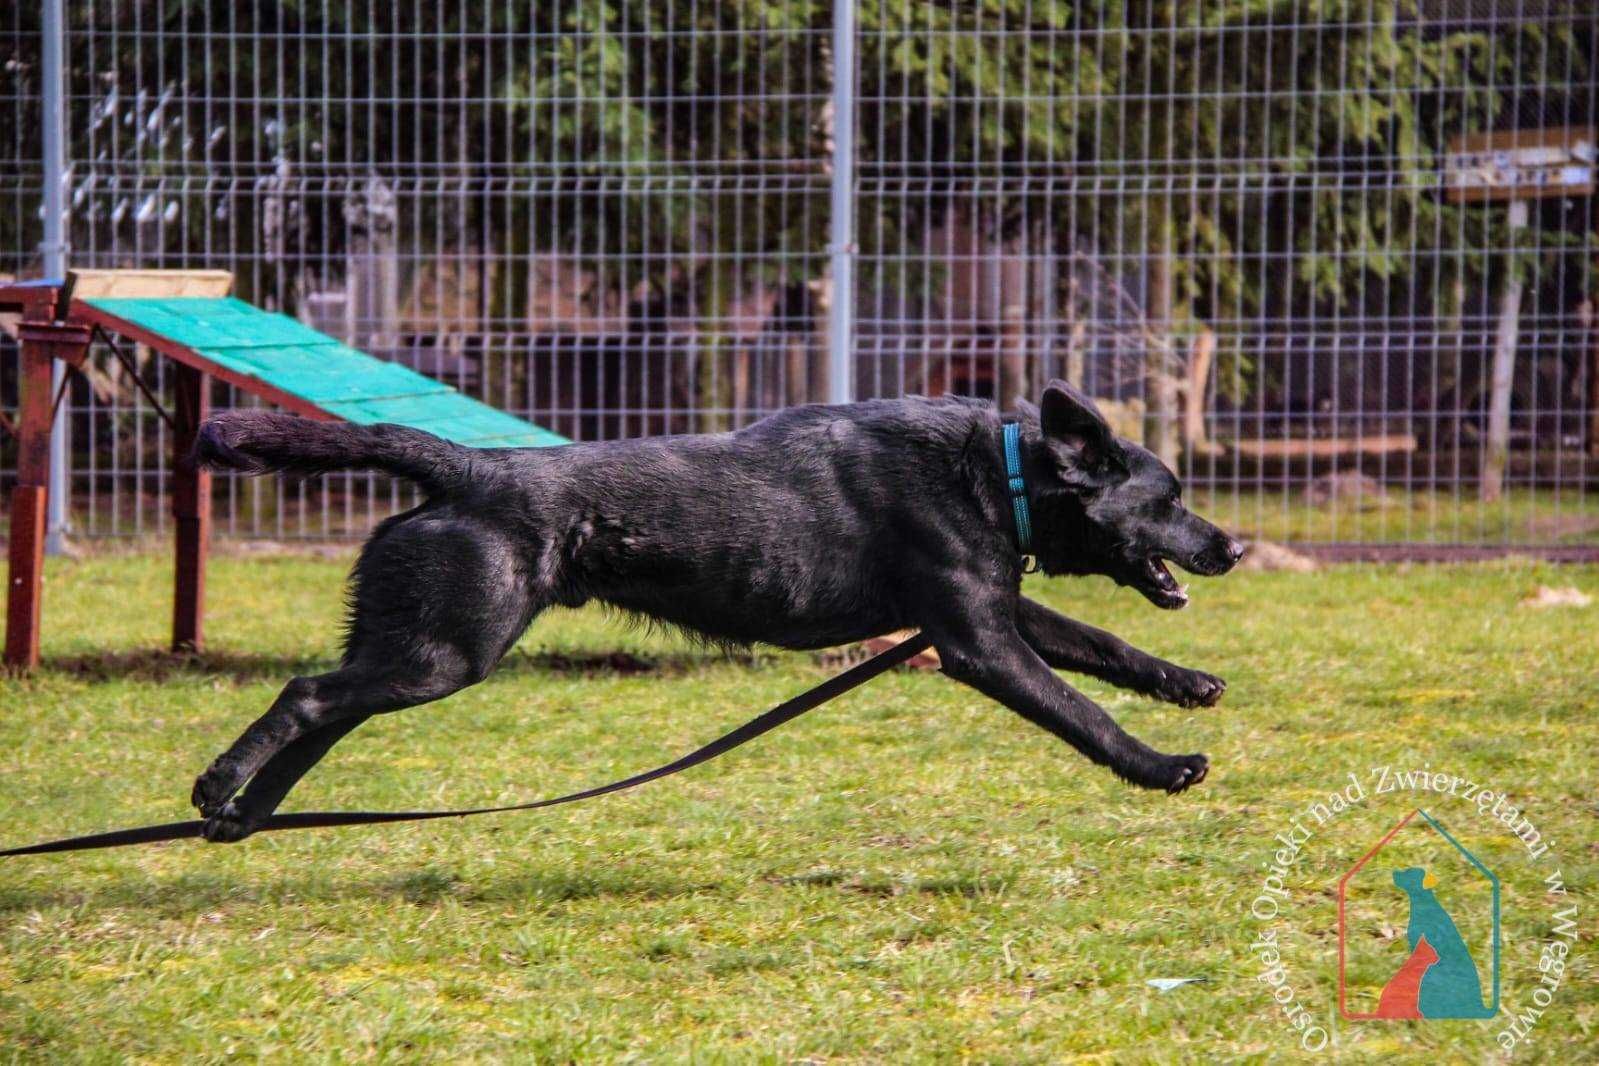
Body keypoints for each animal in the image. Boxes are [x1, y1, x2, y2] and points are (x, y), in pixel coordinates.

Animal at [183, 383, 1234, 843]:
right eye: (1171, 495)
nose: (1229, 547)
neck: (1001, 471)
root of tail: (469, 467)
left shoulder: (994, 610)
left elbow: (1105, 644)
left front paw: (1185, 683)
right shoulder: (974, 641)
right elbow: (1082, 712)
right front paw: (1160, 766)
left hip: (418, 645)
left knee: (328, 711)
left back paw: (250, 813)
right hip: (446, 652)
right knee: (306, 694)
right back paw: (219, 784)